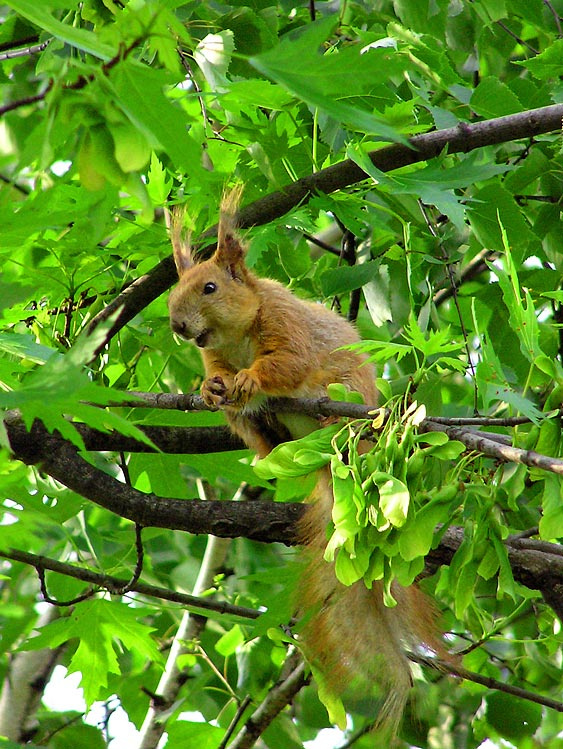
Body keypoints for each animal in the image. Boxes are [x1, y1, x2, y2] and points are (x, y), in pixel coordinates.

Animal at [167, 190, 442, 731]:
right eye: (173, 291)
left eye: (209, 286)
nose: (178, 326)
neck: (235, 336)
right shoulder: (216, 357)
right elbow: (216, 376)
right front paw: (211, 389)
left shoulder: (284, 325)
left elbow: (286, 363)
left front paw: (251, 379)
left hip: (345, 401)